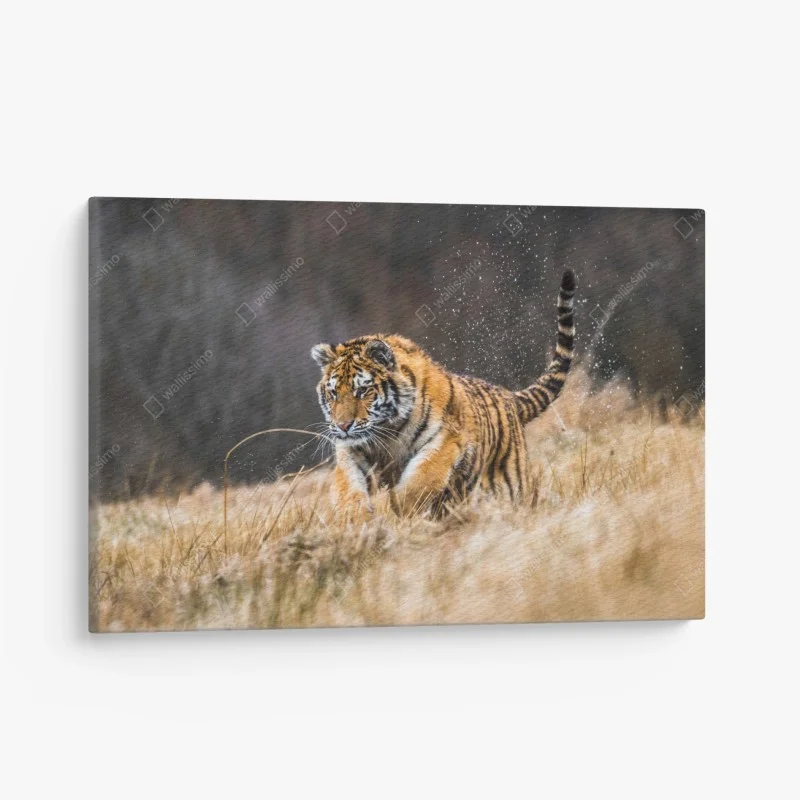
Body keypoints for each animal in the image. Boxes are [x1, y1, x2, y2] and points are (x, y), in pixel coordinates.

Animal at [311, 269, 576, 517]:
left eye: (362, 390)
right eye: (333, 393)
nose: (343, 426)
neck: (387, 434)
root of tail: (508, 396)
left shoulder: (446, 441)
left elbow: (420, 481)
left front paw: (397, 511)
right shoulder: (351, 452)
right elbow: (348, 489)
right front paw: (355, 520)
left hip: (513, 484)